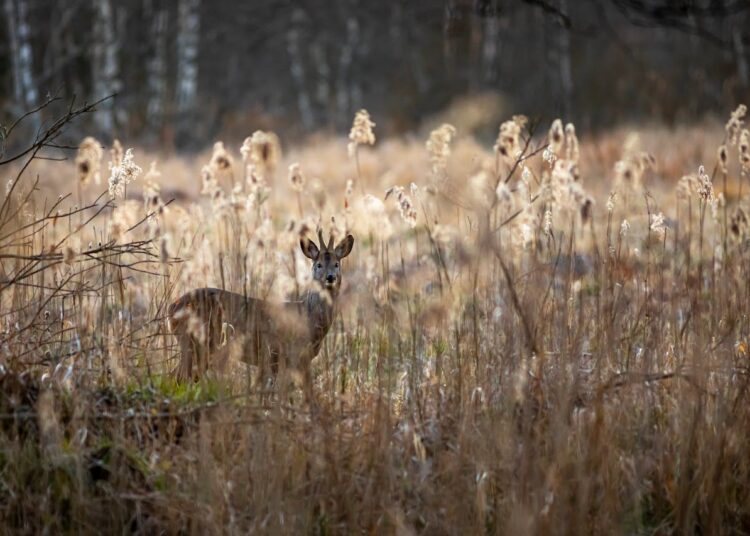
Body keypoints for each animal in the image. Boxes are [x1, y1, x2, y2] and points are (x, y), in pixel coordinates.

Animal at [166, 230, 354, 401]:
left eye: (337, 264)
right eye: (319, 264)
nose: (330, 277)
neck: (308, 317)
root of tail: (171, 308)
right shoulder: (279, 354)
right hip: (195, 343)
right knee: (177, 377)